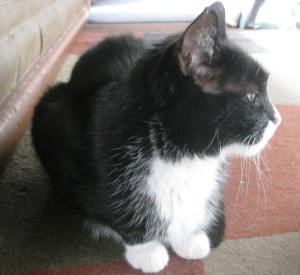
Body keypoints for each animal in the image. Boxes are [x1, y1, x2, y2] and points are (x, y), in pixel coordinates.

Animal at [32, 1, 282, 274]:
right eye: (252, 97)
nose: (278, 119)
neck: (183, 155)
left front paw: (190, 236)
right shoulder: (60, 127)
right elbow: (105, 208)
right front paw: (145, 248)